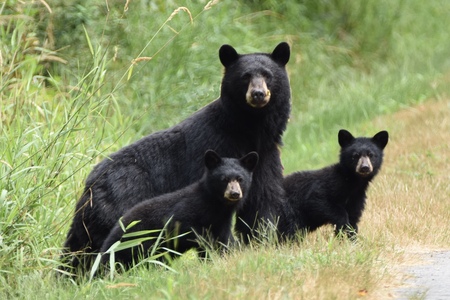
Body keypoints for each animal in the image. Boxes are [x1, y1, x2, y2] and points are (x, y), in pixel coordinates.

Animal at [100, 150, 258, 268]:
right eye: (224, 179)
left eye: (240, 179)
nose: (234, 193)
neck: (216, 206)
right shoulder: (186, 211)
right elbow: (188, 230)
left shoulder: (222, 222)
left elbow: (224, 241)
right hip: (135, 241)